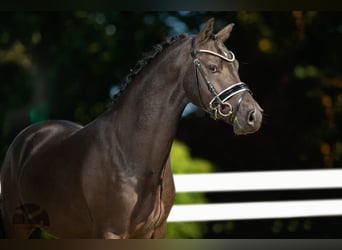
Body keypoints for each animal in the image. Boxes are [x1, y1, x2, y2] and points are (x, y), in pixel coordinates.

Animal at [0, 18, 264, 238]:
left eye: (236, 66)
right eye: (212, 67)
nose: (253, 116)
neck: (131, 153)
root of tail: (28, 136)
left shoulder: (155, 233)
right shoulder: (110, 233)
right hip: (18, 228)